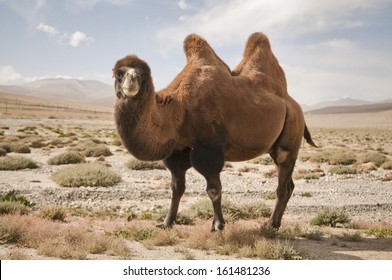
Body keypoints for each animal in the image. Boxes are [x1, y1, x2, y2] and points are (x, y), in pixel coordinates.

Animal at [112, 32, 316, 232]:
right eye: (119, 73)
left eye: (142, 74)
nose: (132, 80)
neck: (179, 109)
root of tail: (294, 105)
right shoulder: (178, 150)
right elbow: (177, 188)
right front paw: (167, 222)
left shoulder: (209, 148)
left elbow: (213, 189)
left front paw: (218, 225)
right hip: (275, 145)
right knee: (288, 184)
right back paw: (275, 224)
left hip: (292, 133)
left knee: (283, 180)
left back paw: (270, 225)